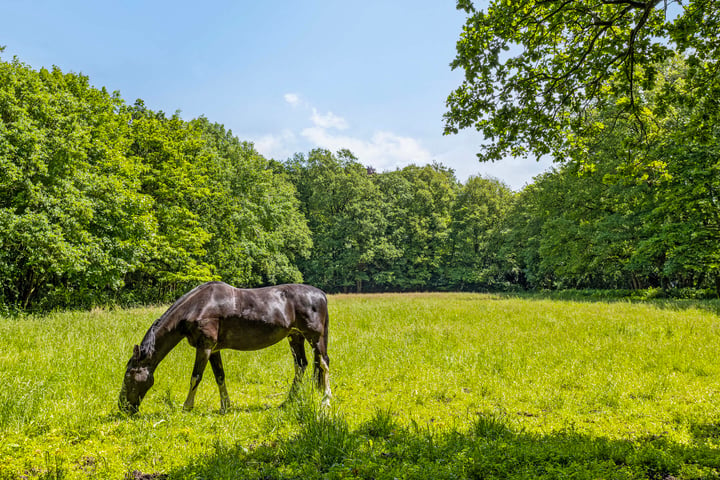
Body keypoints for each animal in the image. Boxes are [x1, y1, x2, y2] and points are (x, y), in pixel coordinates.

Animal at [119, 284, 332, 414]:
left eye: (129, 376)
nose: (122, 407)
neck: (198, 306)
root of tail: (321, 294)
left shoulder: (204, 347)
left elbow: (196, 377)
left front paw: (187, 406)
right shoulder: (213, 350)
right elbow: (220, 377)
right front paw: (225, 406)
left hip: (314, 337)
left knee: (323, 363)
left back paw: (326, 399)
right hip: (295, 336)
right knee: (301, 365)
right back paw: (288, 401)